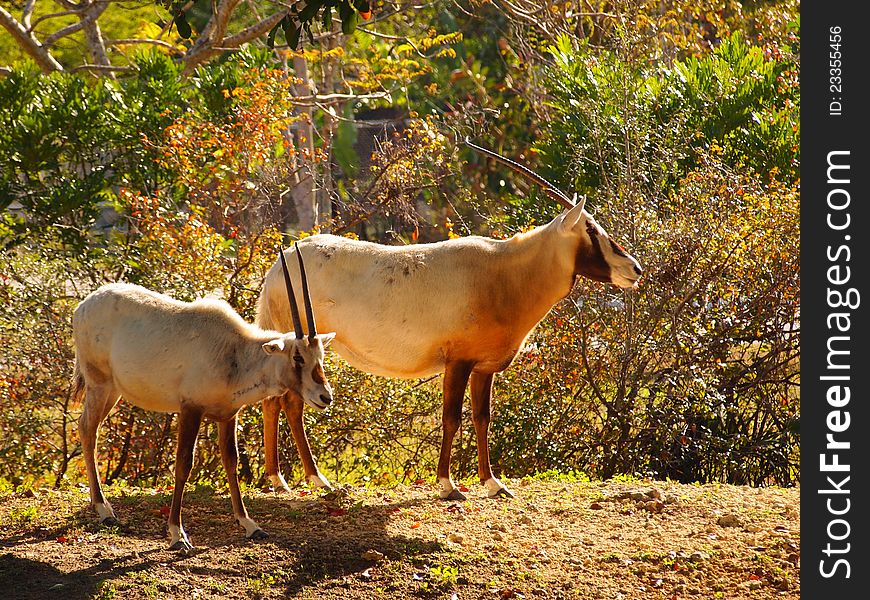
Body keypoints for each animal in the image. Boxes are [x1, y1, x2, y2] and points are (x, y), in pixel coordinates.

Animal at [71, 246, 336, 552]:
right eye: (297, 357)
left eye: (320, 357)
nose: (325, 397)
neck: (235, 352)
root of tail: (83, 306)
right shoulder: (190, 410)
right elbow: (183, 464)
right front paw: (177, 533)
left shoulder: (228, 415)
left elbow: (231, 462)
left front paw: (249, 524)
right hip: (99, 384)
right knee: (88, 429)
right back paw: (104, 509)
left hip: (113, 391)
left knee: (87, 427)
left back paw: (100, 505)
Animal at [255, 139, 644, 496]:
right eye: (591, 229)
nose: (635, 269)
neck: (504, 272)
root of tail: (276, 268)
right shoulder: (458, 362)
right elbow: (452, 418)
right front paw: (447, 484)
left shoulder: (484, 367)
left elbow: (482, 418)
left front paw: (493, 483)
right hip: (300, 347)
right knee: (288, 402)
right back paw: (311, 479)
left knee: (276, 401)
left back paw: (281, 479)